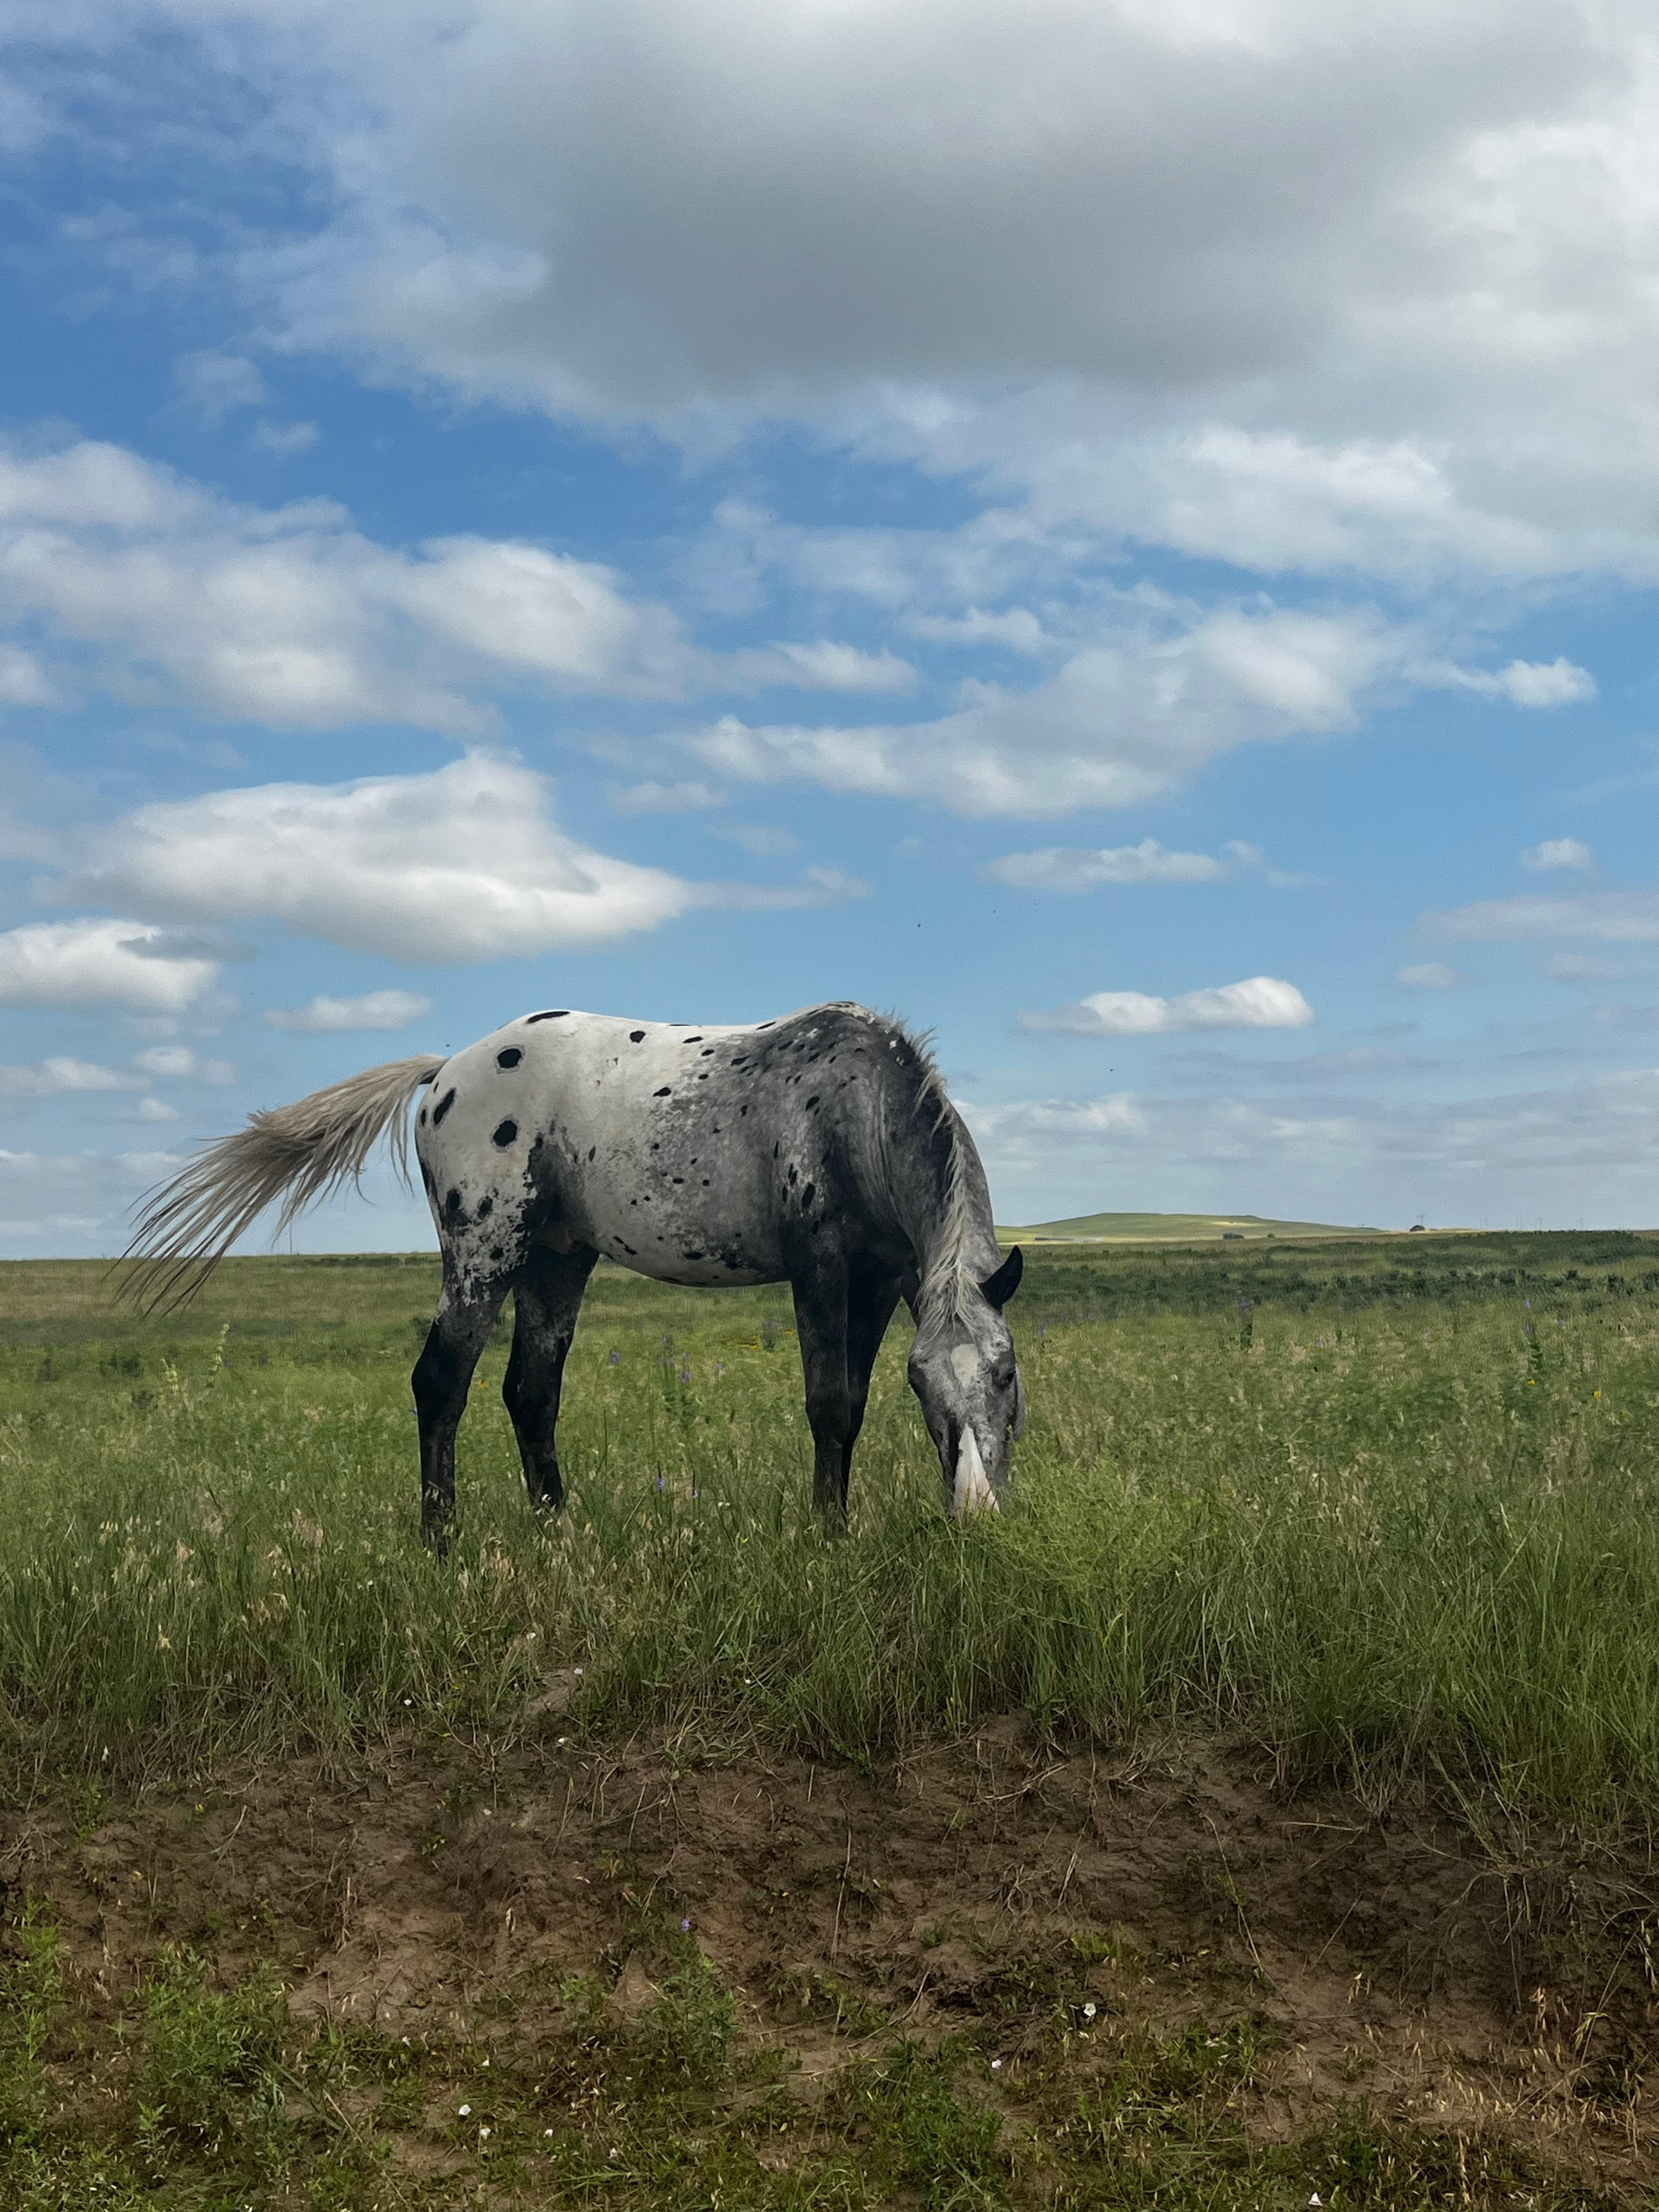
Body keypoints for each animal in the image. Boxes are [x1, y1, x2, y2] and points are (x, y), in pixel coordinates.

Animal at [126, 1000, 1026, 1544]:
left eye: (1007, 1374)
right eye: (927, 1383)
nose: (978, 1513)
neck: (855, 1112)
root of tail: (442, 1072)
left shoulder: (878, 1282)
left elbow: (856, 1406)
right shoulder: (822, 1269)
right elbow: (830, 1405)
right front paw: (826, 1536)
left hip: (556, 1261)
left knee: (530, 1391)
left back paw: (556, 1528)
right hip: (484, 1255)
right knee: (441, 1381)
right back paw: (440, 1538)